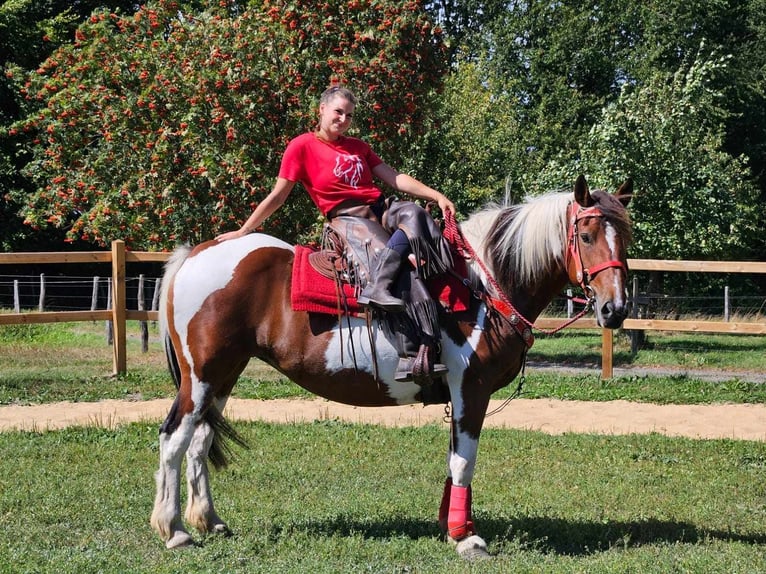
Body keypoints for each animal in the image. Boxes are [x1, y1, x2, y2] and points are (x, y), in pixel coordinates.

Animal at [152, 176, 636, 560]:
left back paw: (210, 520)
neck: (480, 286)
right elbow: (465, 462)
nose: (614, 310)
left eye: (626, 238)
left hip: (223, 376)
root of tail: (195, 254)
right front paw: (466, 538)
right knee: (175, 438)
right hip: (202, 376)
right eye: (586, 235)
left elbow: (454, 461)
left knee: (199, 441)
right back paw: (174, 530)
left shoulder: (458, 394)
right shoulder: (471, 389)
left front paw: (449, 525)